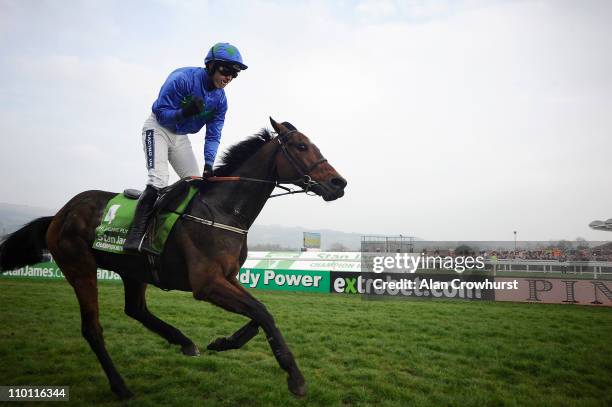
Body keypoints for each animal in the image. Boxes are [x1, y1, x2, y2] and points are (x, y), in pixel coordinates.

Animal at [0, 118, 344, 398]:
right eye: (301, 146)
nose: (338, 183)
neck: (223, 211)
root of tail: (60, 214)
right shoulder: (206, 283)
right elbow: (262, 313)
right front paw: (296, 378)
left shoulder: (227, 277)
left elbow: (260, 313)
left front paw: (223, 342)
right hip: (80, 268)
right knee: (92, 329)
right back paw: (121, 386)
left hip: (133, 271)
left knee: (136, 310)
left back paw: (183, 341)